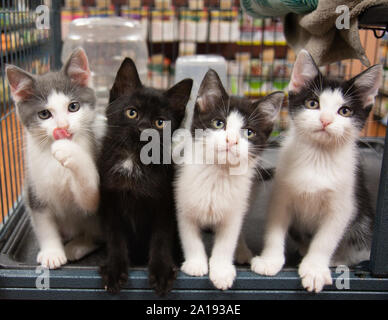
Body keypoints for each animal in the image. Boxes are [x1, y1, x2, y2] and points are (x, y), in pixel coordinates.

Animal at [6, 47, 106, 268]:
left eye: (73, 107)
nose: (63, 127)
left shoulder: (95, 200)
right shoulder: (34, 190)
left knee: (97, 236)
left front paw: (70, 151)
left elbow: (89, 193)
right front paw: (52, 252)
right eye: (44, 114)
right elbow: (43, 224)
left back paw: (78, 245)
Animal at [98, 57, 192, 296]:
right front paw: (114, 269)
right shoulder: (109, 202)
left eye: (160, 122)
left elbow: (161, 237)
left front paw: (162, 271)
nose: (143, 130)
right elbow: (115, 236)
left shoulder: (164, 204)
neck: (133, 161)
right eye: (132, 113)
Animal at [174, 69, 284, 290]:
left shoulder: (234, 212)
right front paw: (196, 264)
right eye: (219, 123)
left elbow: (227, 241)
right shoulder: (183, 203)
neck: (217, 174)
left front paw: (222, 271)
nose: (231, 140)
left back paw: (242, 251)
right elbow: (190, 237)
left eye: (249, 132)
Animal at [252, 49, 382, 292]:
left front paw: (314, 269)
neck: (317, 158)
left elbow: (325, 239)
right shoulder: (282, 195)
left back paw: (336, 260)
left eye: (345, 111)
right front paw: (270, 261)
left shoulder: (343, 206)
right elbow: (275, 229)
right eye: (313, 103)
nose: (326, 120)